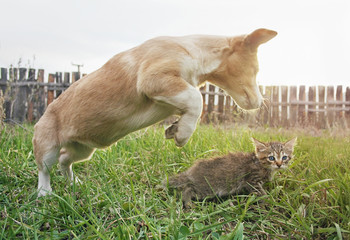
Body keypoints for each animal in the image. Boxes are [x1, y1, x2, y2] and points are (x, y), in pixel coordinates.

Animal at [34, 28, 278, 197]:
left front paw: (175, 128)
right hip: (48, 148)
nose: (260, 102)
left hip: (83, 149)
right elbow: (196, 99)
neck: (197, 52)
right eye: (256, 70)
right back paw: (45, 193)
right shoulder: (154, 79)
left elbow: (189, 103)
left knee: (65, 160)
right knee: (45, 169)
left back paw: (74, 182)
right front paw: (182, 134)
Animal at [163, 137, 296, 206]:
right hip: (206, 188)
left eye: (284, 157)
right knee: (188, 189)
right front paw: (270, 200)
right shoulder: (251, 180)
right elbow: (261, 192)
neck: (260, 163)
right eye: (271, 158)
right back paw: (188, 203)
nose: (279, 164)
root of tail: (191, 172)